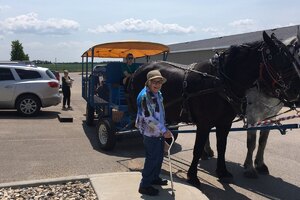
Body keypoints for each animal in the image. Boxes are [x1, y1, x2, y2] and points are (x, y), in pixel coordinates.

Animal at [128, 30, 300, 187]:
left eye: (292, 57)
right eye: (279, 59)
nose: (296, 90)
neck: (220, 82)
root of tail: (140, 68)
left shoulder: (226, 123)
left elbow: (223, 146)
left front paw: (223, 172)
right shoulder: (207, 123)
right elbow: (198, 148)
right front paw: (193, 176)